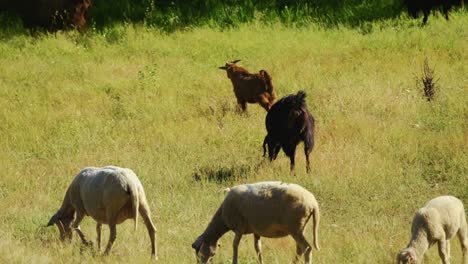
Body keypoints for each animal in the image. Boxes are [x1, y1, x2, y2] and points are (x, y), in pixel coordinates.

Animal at [190, 182, 318, 264]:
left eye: (199, 254)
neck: (222, 216)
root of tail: (313, 202)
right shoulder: (256, 231)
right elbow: (258, 248)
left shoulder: (239, 228)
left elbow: (235, 245)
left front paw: (235, 261)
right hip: (300, 228)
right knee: (300, 249)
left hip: (295, 228)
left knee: (307, 248)